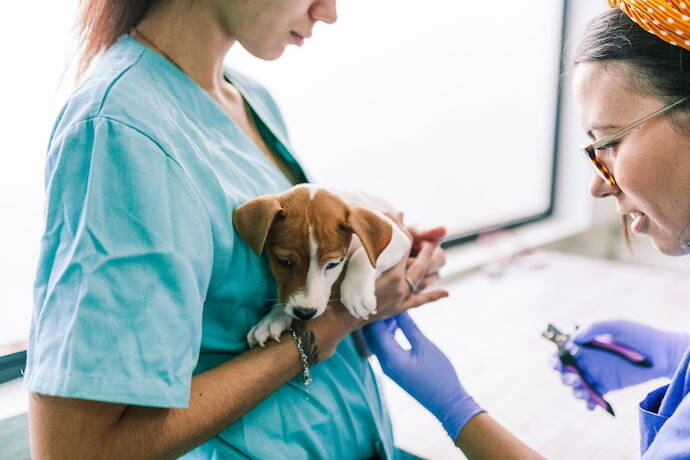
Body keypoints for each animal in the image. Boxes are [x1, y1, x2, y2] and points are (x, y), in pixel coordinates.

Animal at [234, 183, 412, 344]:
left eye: (333, 265)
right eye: (284, 262)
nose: (305, 313)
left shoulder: (399, 238)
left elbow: (361, 254)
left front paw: (356, 293)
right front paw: (272, 319)